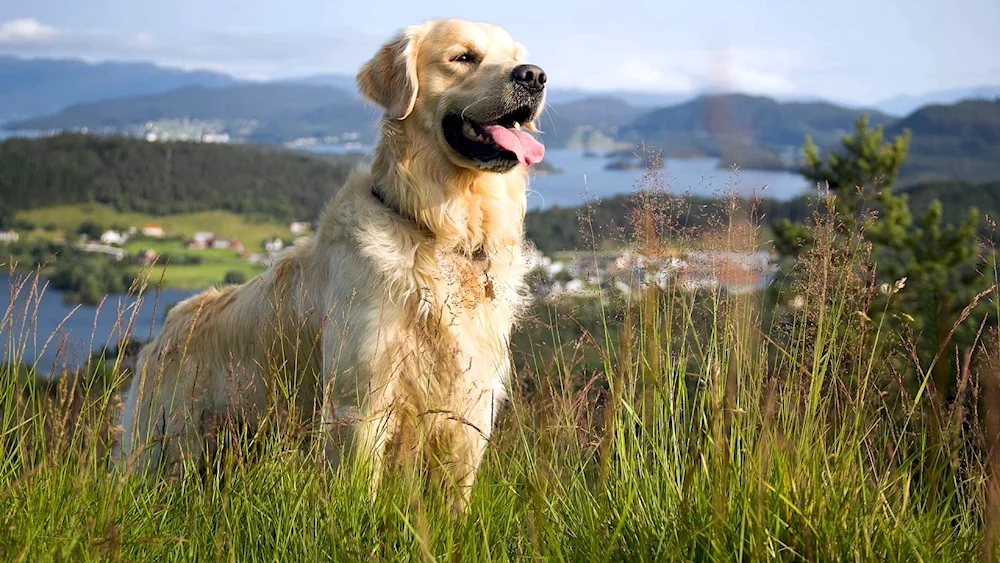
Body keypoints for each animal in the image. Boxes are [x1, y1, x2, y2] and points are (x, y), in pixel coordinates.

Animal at [115, 18, 548, 512]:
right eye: (463, 57)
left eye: (516, 57)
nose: (534, 76)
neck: (439, 231)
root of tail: (163, 332)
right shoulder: (359, 403)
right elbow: (360, 494)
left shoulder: (470, 406)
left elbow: (454, 503)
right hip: (164, 448)